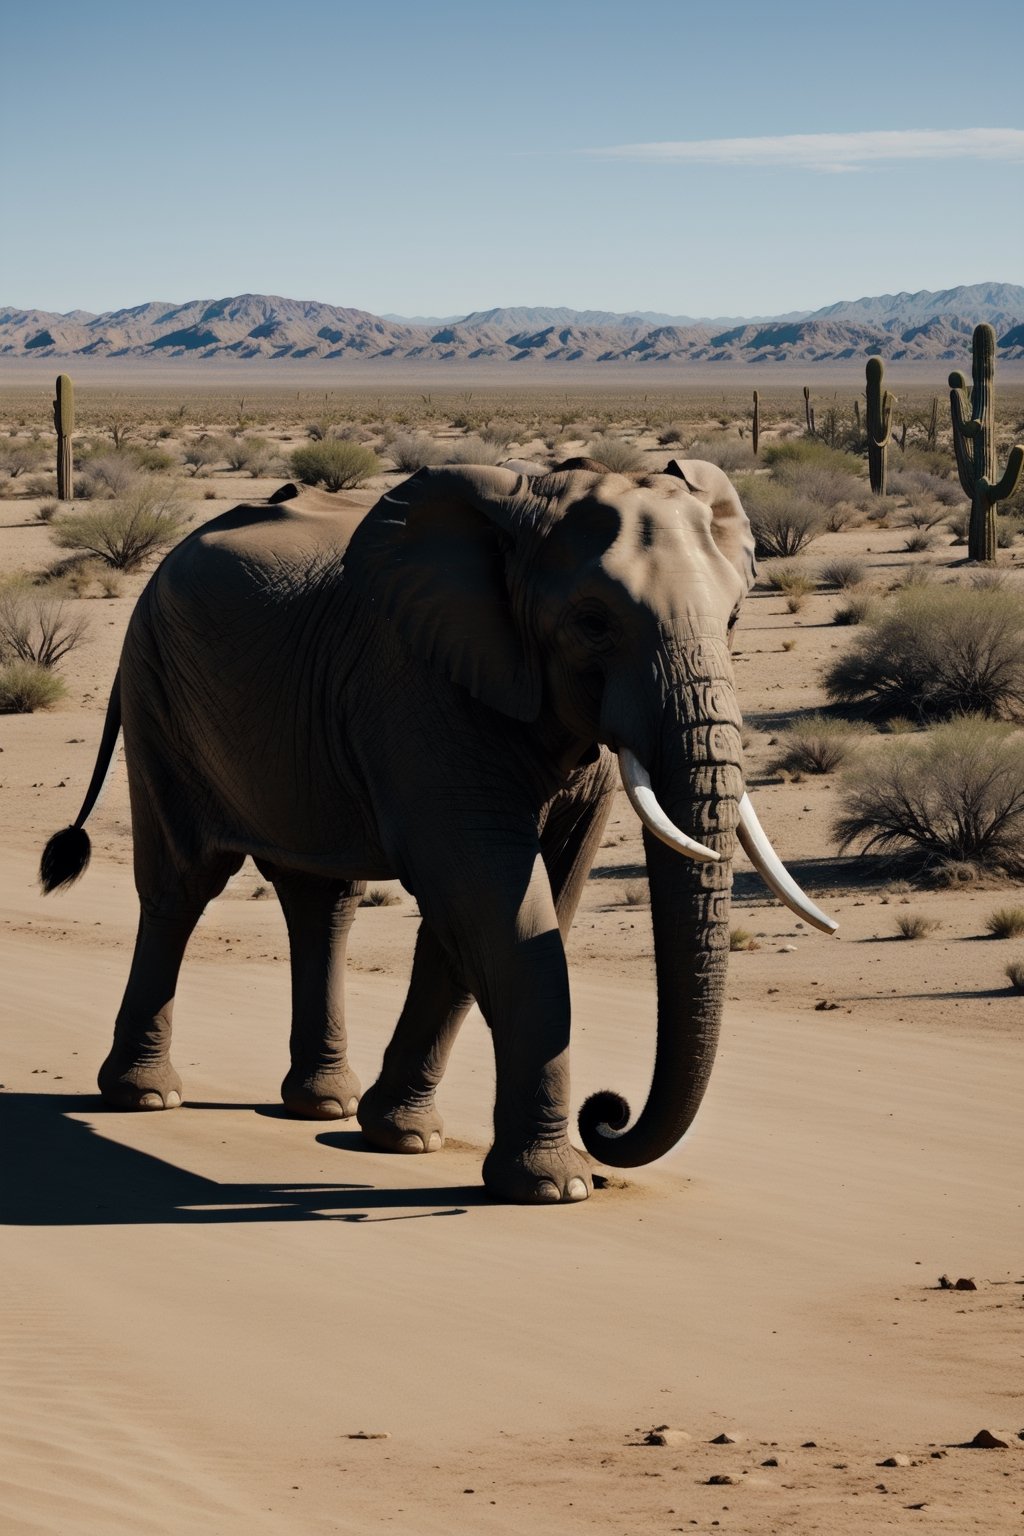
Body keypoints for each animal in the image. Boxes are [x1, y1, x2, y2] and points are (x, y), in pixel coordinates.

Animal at [42, 454, 835, 1198]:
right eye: (592, 623)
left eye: (733, 621)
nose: (607, 1114)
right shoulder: (421, 687)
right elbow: (499, 905)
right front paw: (554, 1186)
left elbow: (528, 899)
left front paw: (404, 1139)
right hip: (156, 687)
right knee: (182, 885)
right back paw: (146, 1096)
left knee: (320, 899)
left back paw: (323, 1106)